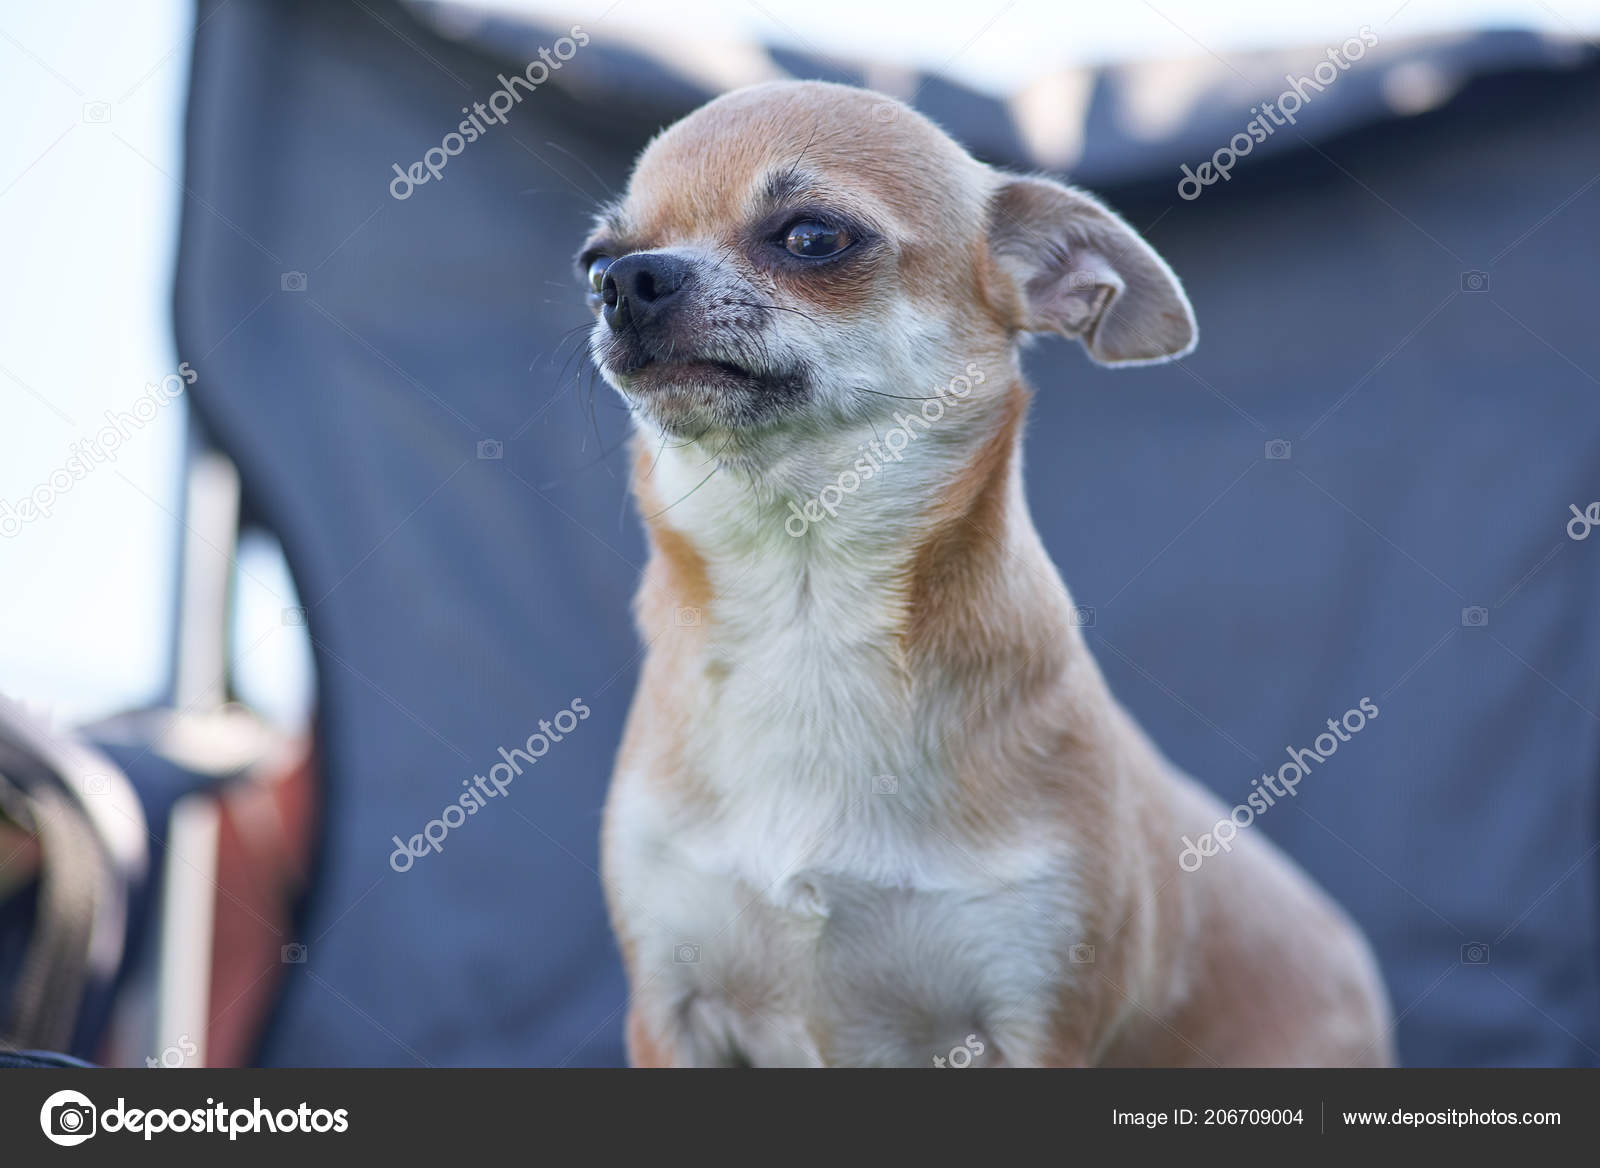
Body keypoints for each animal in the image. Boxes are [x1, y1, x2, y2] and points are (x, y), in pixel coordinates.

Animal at [576, 79, 1388, 1062]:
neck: (806, 612)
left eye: (812, 237)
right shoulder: (669, 1011)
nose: (626, 281)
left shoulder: (1037, 1021)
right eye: (593, 261)